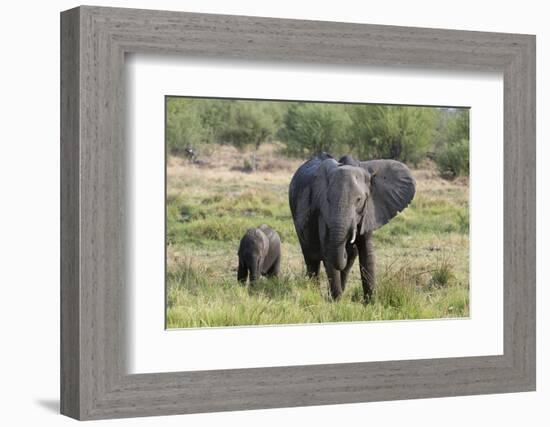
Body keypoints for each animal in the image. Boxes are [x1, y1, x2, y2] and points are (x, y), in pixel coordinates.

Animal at [292, 153, 416, 300]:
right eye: (328, 199)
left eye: (359, 200)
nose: (347, 246)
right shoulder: (323, 213)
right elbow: (328, 250)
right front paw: (337, 301)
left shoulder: (369, 210)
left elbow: (367, 252)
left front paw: (371, 302)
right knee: (311, 259)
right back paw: (314, 292)